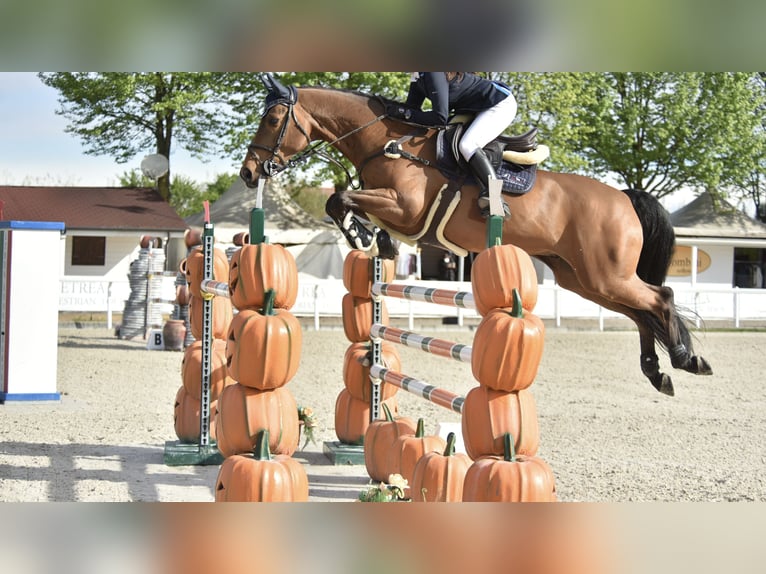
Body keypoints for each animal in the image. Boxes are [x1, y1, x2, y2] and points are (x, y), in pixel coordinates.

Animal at [239, 76, 712, 396]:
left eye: (274, 118)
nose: (248, 173)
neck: (386, 143)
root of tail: (624, 197)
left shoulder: (406, 209)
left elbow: (341, 199)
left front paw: (362, 236)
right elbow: (342, 203)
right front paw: (375, 240)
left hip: (604, 274)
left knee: (660, 298)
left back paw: (686, 359)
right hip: (583, 278)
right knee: (641, 311)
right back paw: (658, 370)